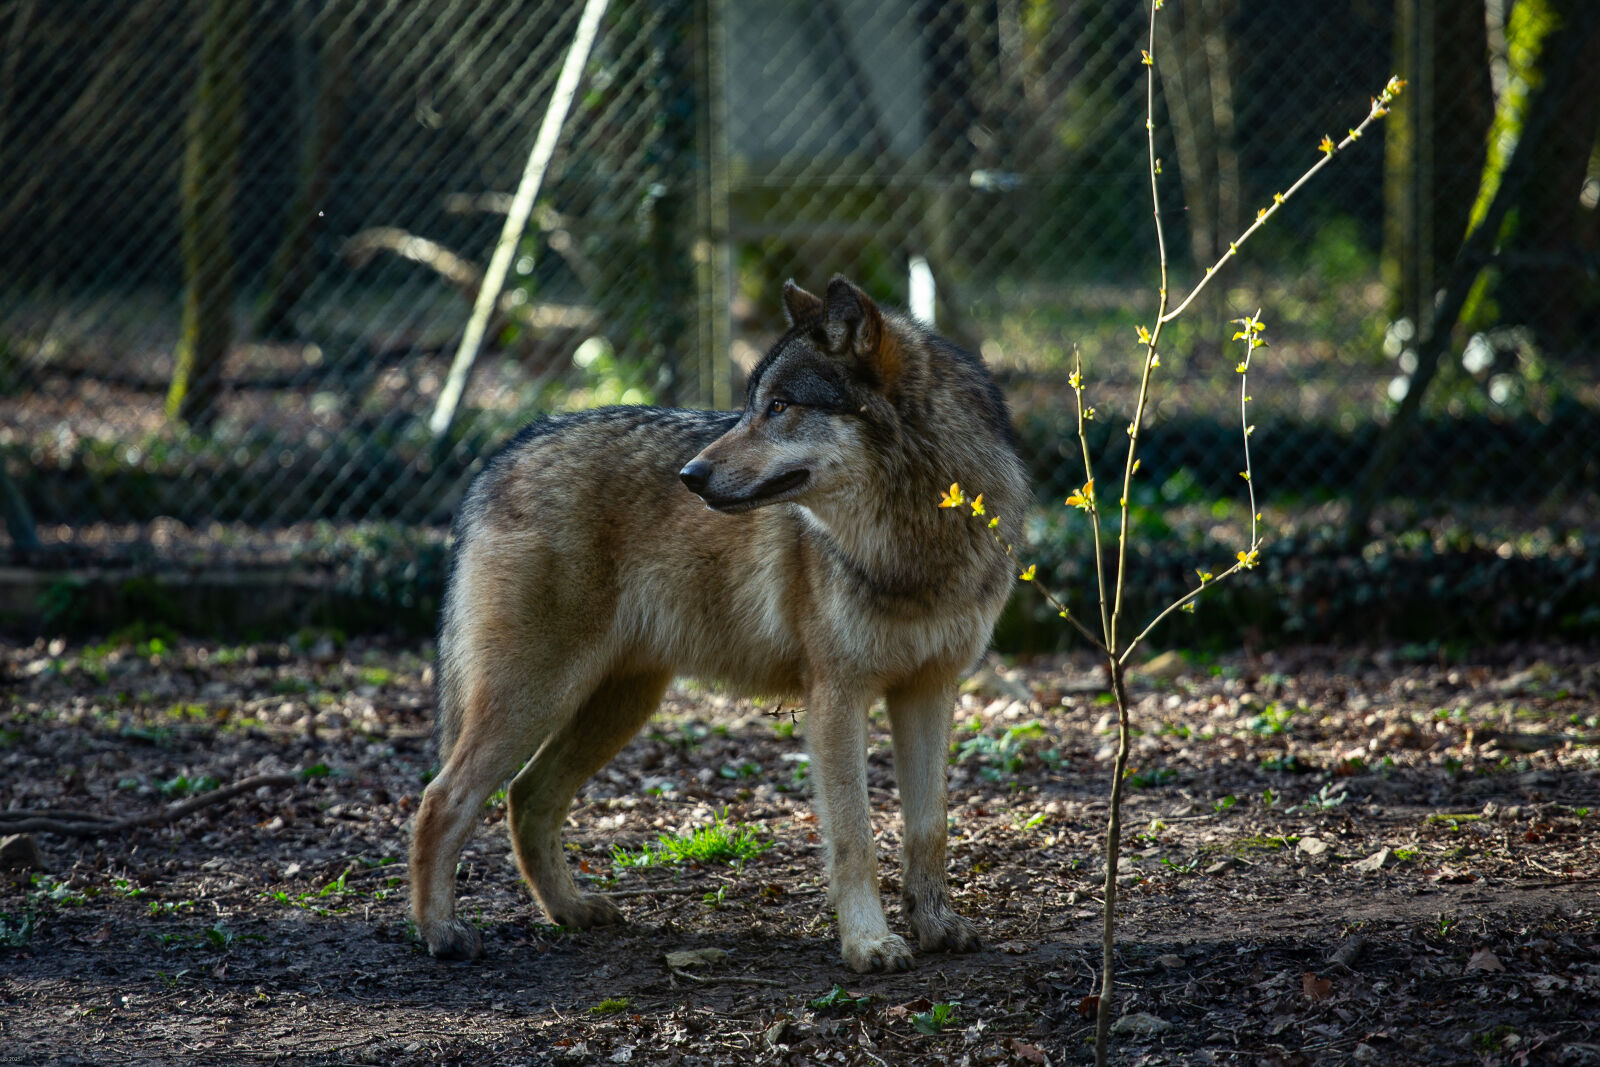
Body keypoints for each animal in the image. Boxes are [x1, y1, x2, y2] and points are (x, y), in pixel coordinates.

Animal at [409, 276, 1029, 972]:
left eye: (780, 406)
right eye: (751, 406)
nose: (691, 476)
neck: (913, 540)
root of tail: (501, 456)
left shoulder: (930, 689)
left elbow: (929, 828)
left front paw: (935, 925)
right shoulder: (837, 699)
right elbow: (856, 837)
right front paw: (869, 943)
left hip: (617, 705)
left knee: (526, 797)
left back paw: (571, 910)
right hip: (537, 697)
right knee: (441, 799)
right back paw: (441, 932)